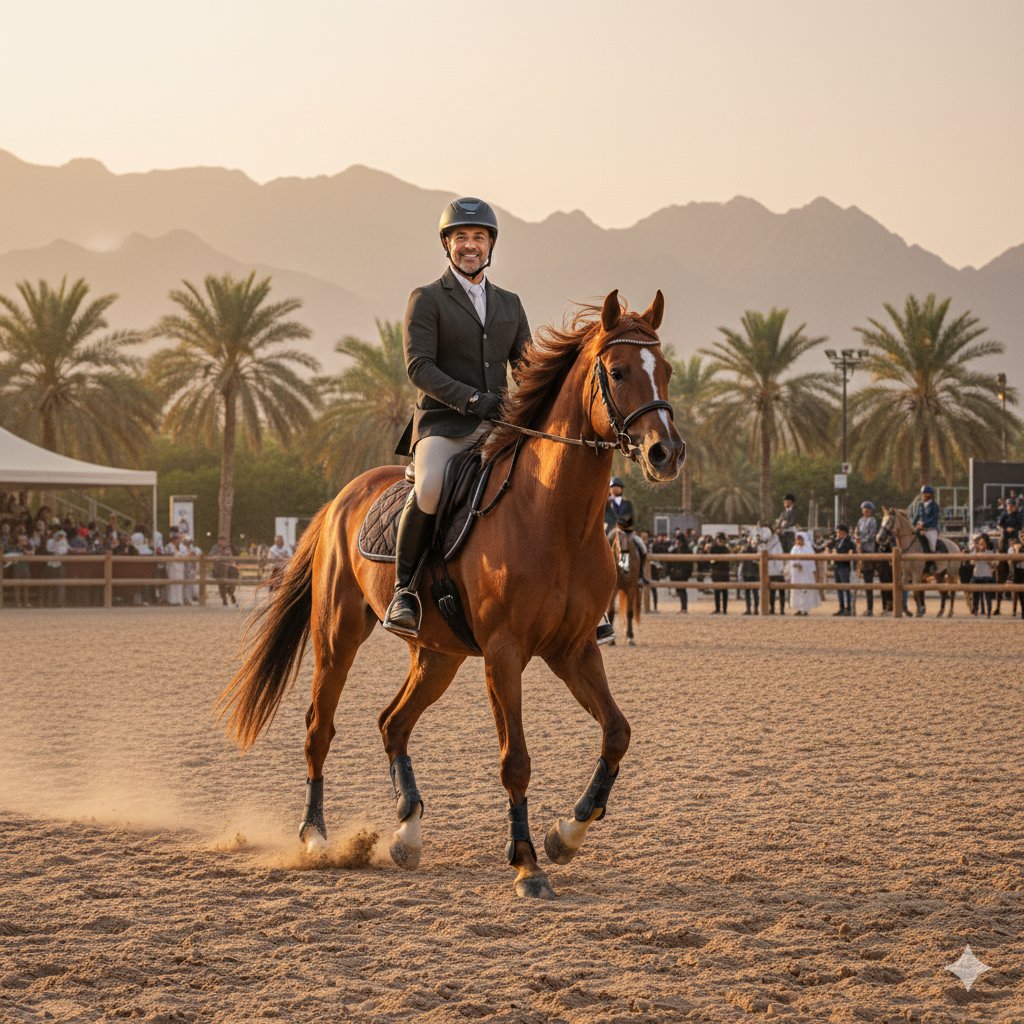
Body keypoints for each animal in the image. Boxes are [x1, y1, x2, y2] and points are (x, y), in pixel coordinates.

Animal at [217, 290, 684, 900]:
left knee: (392, 723)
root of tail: (342, 497)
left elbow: (617, 733)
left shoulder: (574, 649)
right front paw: (527, 864)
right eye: (619, 371)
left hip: (437, 656)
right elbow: (515, 761)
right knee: (320, 728)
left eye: (667, 371)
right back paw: (316, 838)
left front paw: (566, 835)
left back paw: (407, 835)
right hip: (337, 636)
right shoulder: (505, 655)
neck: (555, 516)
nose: (666, 453)